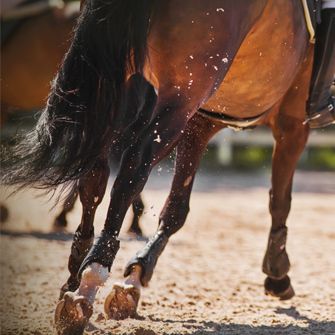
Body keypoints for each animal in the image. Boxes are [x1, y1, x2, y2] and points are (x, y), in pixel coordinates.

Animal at [0, 0, 316, 335]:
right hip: (175, 100)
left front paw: (135, 278)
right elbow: (280, 200)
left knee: (95, 178)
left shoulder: (202, 121)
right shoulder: (293, 123)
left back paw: (76, 273)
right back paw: (91, 278)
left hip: (116, 92)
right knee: (131, 170)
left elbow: (176, 209)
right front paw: (278, 272)